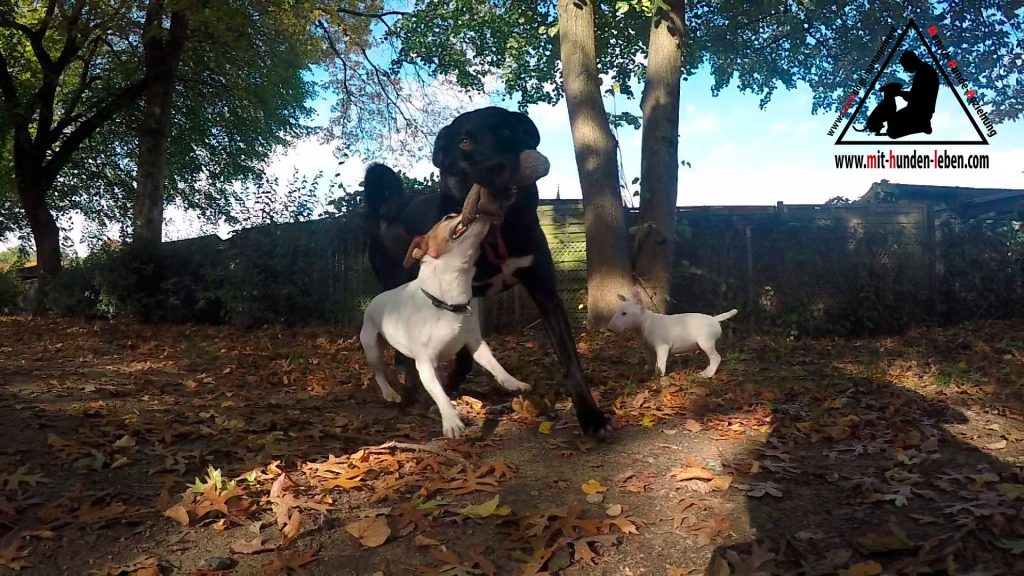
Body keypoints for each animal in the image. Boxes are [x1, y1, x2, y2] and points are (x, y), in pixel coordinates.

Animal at [358, 208, 532, 436]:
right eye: (448, 217)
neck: (446, 299)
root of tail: (375, 300)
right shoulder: (425, 364)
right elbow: (439, 395)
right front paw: (451, 421)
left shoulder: (475, 344)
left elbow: (494, 365)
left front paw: (513, 382)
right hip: (373, 349)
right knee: (379, 372)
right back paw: (390, 393)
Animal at [606, 284, 737, 377]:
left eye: (624, 313)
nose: (609, 329)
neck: (645, 322)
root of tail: (714, 319)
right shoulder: (648, 348)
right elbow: (650, 358)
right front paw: (647, 369)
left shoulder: (662, 347)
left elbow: (660, 363)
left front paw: (658, 376)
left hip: (706, 341)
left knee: (716, 357)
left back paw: (707, 374)